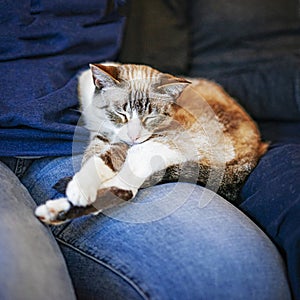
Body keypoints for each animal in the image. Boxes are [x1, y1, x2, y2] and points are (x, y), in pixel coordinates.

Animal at [35, 62, 268, 224]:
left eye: (150, 117)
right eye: (122, 113)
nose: (134, 136)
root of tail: (252, 155)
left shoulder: (132, 143)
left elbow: (103, 160)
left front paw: (79, 189)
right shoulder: (101, 135)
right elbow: (93, 159)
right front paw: (82, 184)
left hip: (162, 145)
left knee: (126, 190)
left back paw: (52, 212)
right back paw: (55, 211)